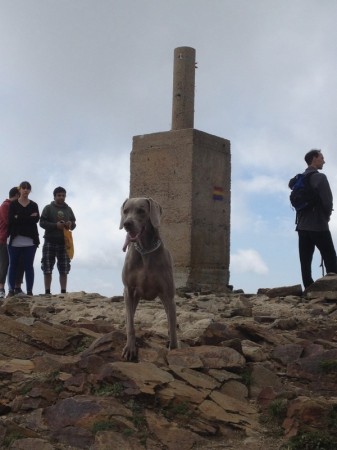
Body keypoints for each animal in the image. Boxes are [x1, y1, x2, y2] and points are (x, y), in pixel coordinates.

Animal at [119, 197, 177, 358]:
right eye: (125, 211)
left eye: (141, 211)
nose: (127, 224)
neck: (145, 250)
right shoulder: (128, 290)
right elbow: (130, 323)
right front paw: (130, 348)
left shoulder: (168, 294)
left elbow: (172, 324)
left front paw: (174, 349)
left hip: (165, 298)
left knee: (170, 317)